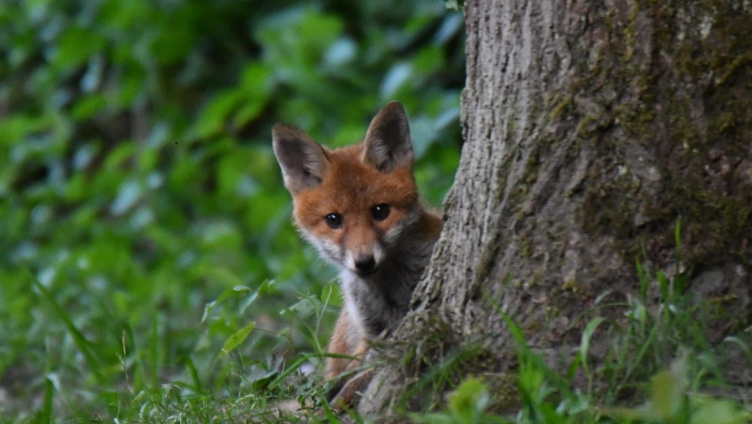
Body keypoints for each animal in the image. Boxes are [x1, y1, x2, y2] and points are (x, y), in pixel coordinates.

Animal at [272, 102, 442, 390]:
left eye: (380, 211)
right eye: (333, 219)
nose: (364, 262)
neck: (389, 294)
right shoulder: (370, 333)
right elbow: (351, 377)